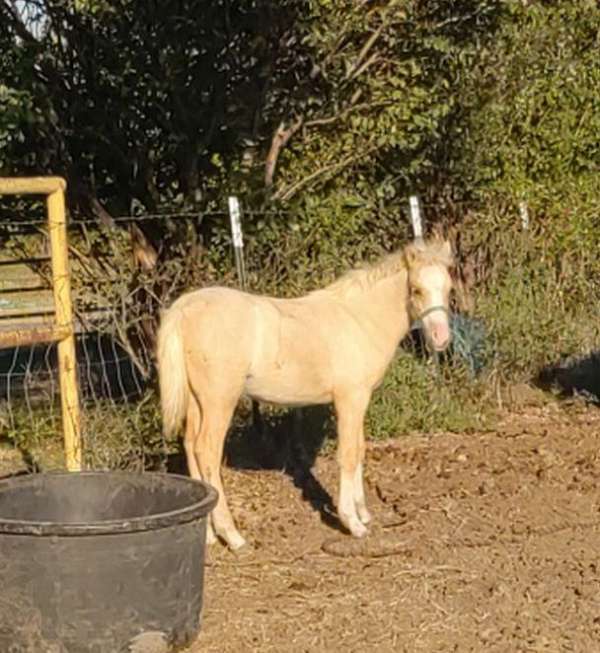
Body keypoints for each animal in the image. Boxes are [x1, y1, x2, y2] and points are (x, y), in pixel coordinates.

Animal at [157, 237, 452, 548]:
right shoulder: (351, 398)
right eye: (416, 289)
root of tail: (185, 307)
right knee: (207, 451)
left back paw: (210, 536)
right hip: (220, 400)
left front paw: (364, 512)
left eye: (448, 288)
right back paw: (233, 536)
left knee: (190, 446)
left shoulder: (360, 400)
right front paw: (353, 523)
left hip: (197, 401)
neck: (359, 320)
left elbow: (359, 449)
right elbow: (348, 454)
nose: (441, 339)